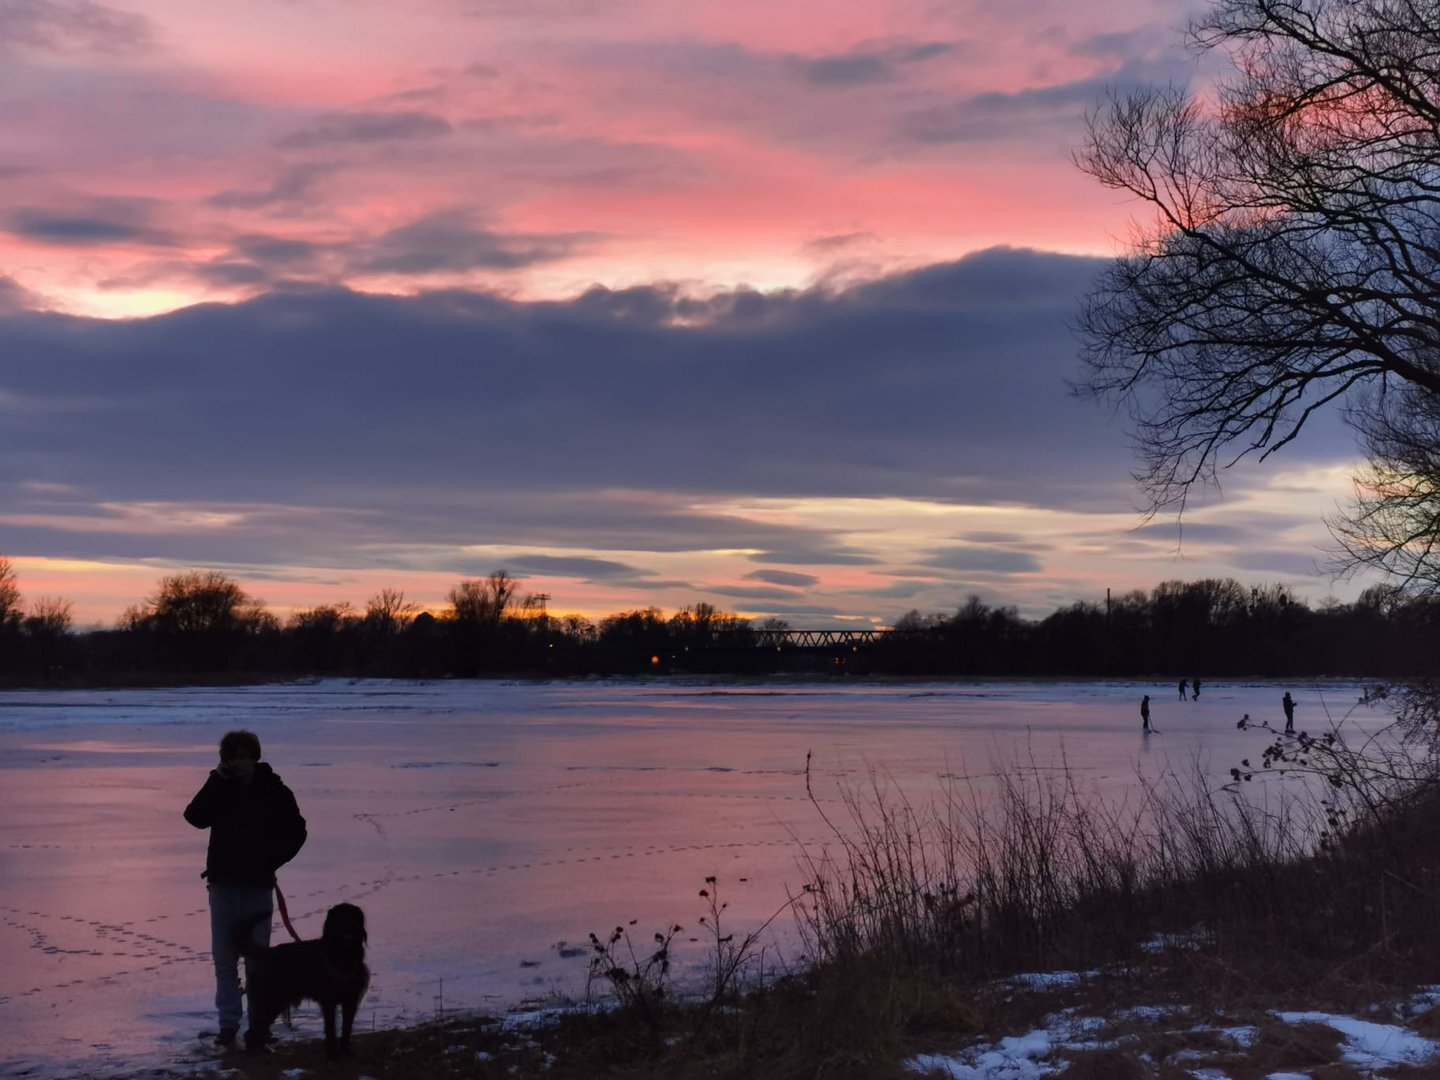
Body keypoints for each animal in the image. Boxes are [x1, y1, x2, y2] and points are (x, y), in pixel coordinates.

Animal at [241, 898, 368, 1059]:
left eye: (353, 915)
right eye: (340, 916)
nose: (349, 925)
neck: (343, 953)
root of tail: (267, 953)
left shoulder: (350, 1000)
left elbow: (347, 1029)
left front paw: (345, 1052)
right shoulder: (328, 1002)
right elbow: (331, 1028)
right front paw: (333, 1054)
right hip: (272, 999)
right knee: (254, 1029)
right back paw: (254, 1051)